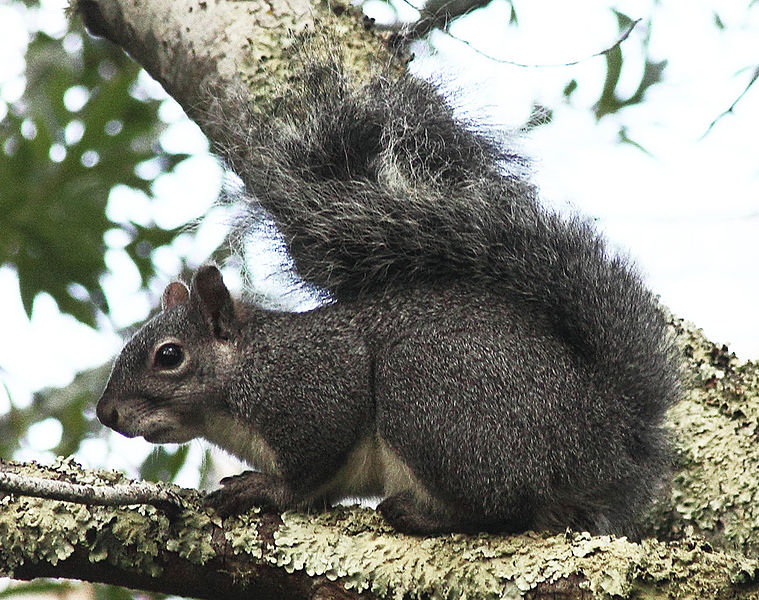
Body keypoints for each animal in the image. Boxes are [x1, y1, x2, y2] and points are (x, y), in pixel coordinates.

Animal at [96, 57, 684, 536]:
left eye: (169, 356)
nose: (106, 413)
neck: (245, 372)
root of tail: (609, 436)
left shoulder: (315, 388)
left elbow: (309, 467)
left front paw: (265, 488)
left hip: (433, 398)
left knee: (503, 508)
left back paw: (422, 514)